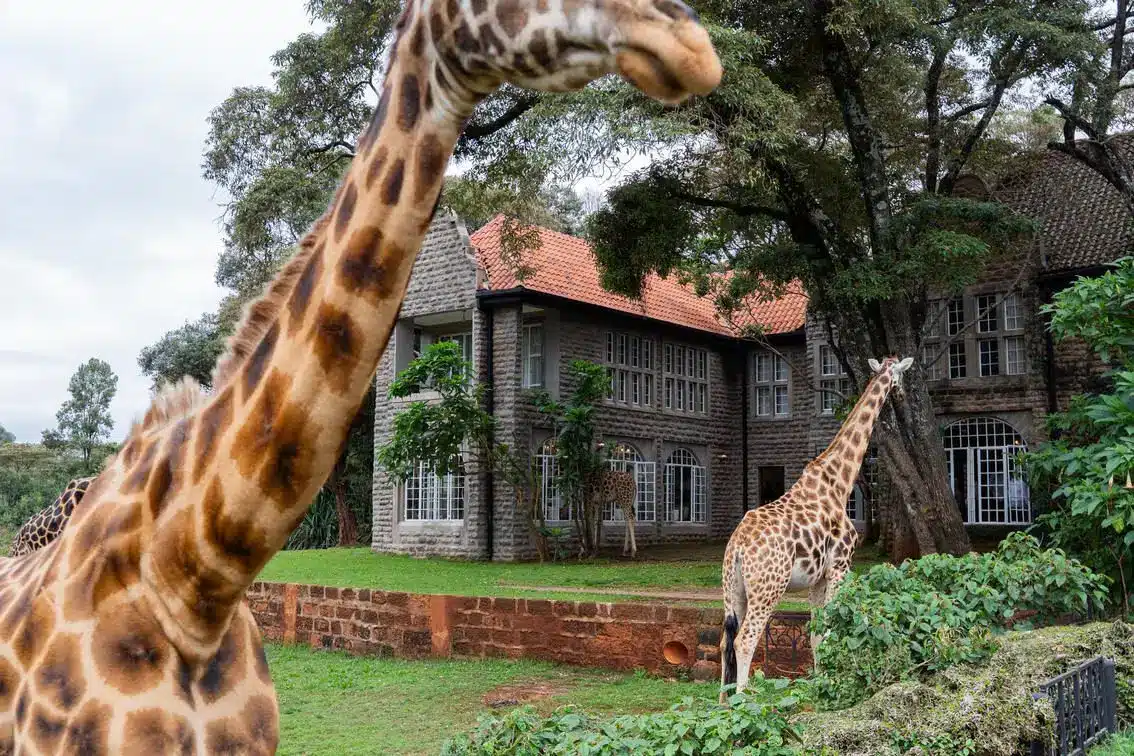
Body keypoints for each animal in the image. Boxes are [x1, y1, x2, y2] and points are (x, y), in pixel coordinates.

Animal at [718, 355, 915, 703]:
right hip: (768, 588)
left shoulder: (817, 578)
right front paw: (832, 684)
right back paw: (744, 701)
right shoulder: (840, 566)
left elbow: (816, 633)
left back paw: (721, 703)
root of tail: (737, 548)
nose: (902, 396)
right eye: (901, 376)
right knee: (745, 638)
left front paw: (820, 683)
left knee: (724, 641)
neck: (839, 481)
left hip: (733, 590)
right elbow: (831, 628)